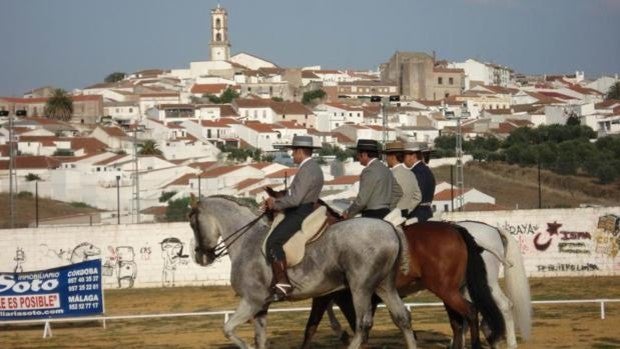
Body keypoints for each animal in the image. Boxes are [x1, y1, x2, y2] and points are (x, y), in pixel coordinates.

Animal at [189, 196, 416, 348]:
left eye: (193, 224)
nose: (201, 257)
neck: (247, 241)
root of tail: (390, 228)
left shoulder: (251, 301)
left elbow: (227, 329)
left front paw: (245, 346)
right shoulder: (261, 306)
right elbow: (260, 339)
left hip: (361, 288)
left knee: (362, 326)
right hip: (384, 285)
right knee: (402, 318)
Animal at [302, 220, 508, 348]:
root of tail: (456, 229)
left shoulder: (332, 295)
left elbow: (313, 326)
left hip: (447, 290)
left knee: (473, 312)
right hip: (451, 290)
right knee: (459, 322)